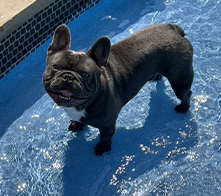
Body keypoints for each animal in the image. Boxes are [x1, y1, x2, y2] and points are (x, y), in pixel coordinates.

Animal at [41, 23, 193, 155]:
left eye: (85, 75)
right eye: (56, 67)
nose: (68, 77)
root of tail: (172, 28)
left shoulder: (107, 125)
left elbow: (105, 137)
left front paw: (102, 148)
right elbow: (79, 120)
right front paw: (77, 125)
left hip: (179, 79)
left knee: (186, 94)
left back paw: (183, 108)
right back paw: (156, 76)